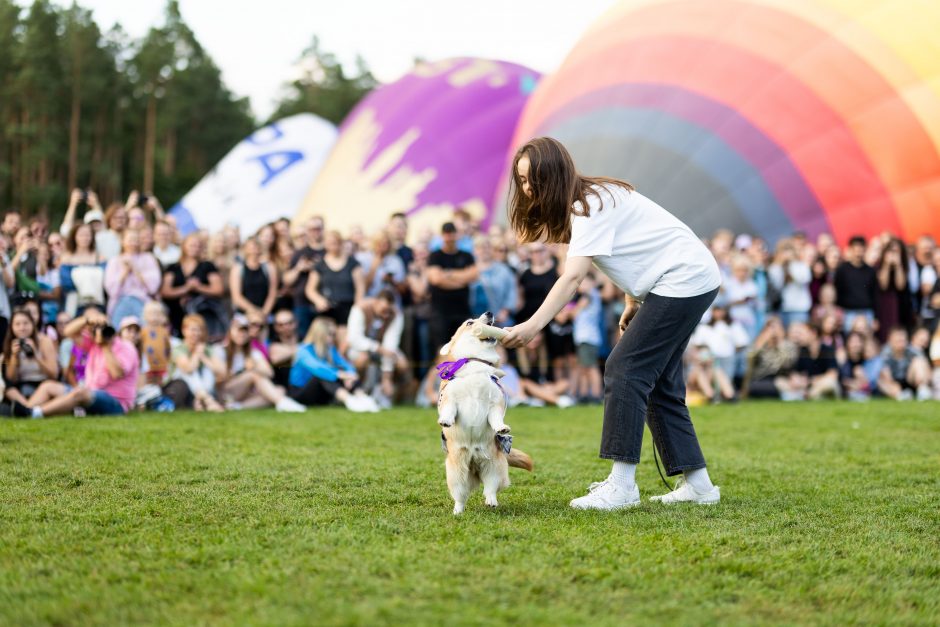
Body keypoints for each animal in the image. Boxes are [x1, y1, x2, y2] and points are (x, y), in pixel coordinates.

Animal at [436, 310, 532, 516]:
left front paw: (502, 428)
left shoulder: (495, 403)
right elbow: (449, 409)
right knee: (460, 497)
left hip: (494, 467)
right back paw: (458, 511)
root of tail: (475, 466)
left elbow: (495, 418)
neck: (475, 363)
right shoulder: (450, 398)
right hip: (456, 475)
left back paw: (491, 501)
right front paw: (446, 420)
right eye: (469, 323)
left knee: (490, 487)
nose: (489, 312)